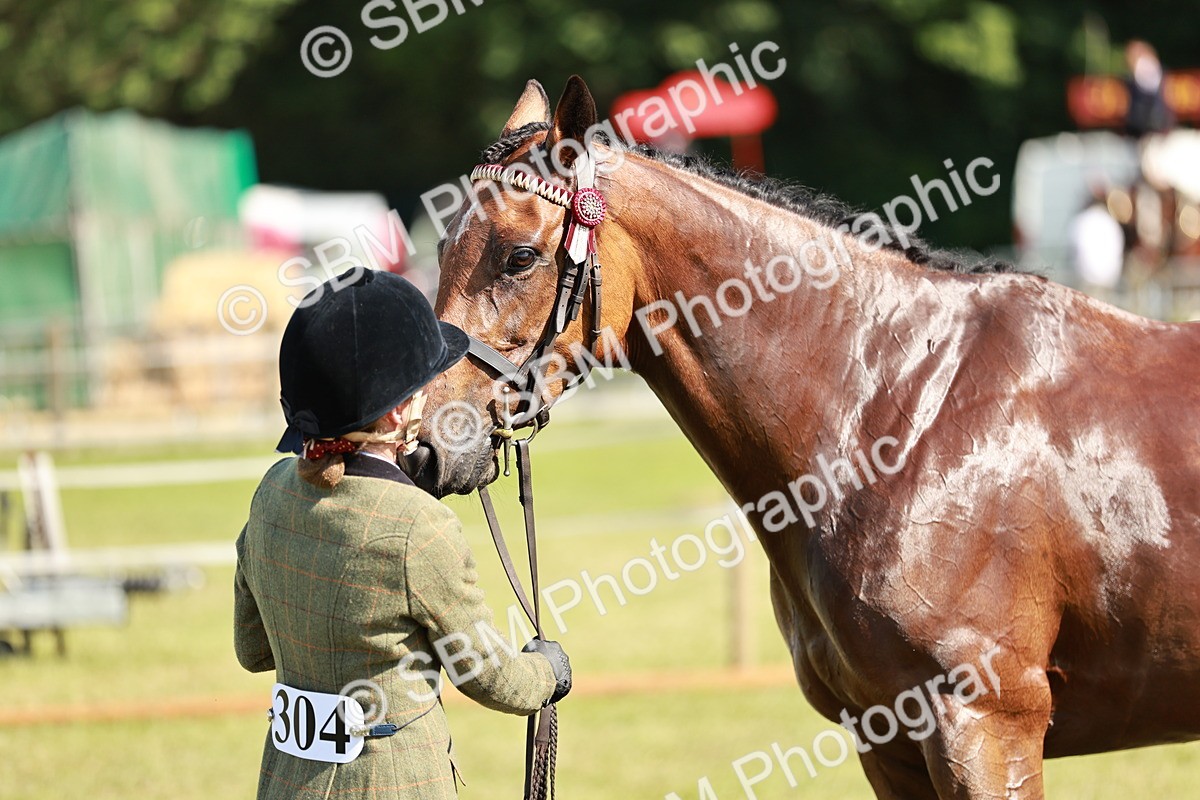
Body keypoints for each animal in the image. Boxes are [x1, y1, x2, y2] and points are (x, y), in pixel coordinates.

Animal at [407, 76, 1200, 799]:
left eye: (519, 256)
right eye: (440, 252)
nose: (425, 444)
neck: (900, 414)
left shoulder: (987, 729)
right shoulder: (889, 744)